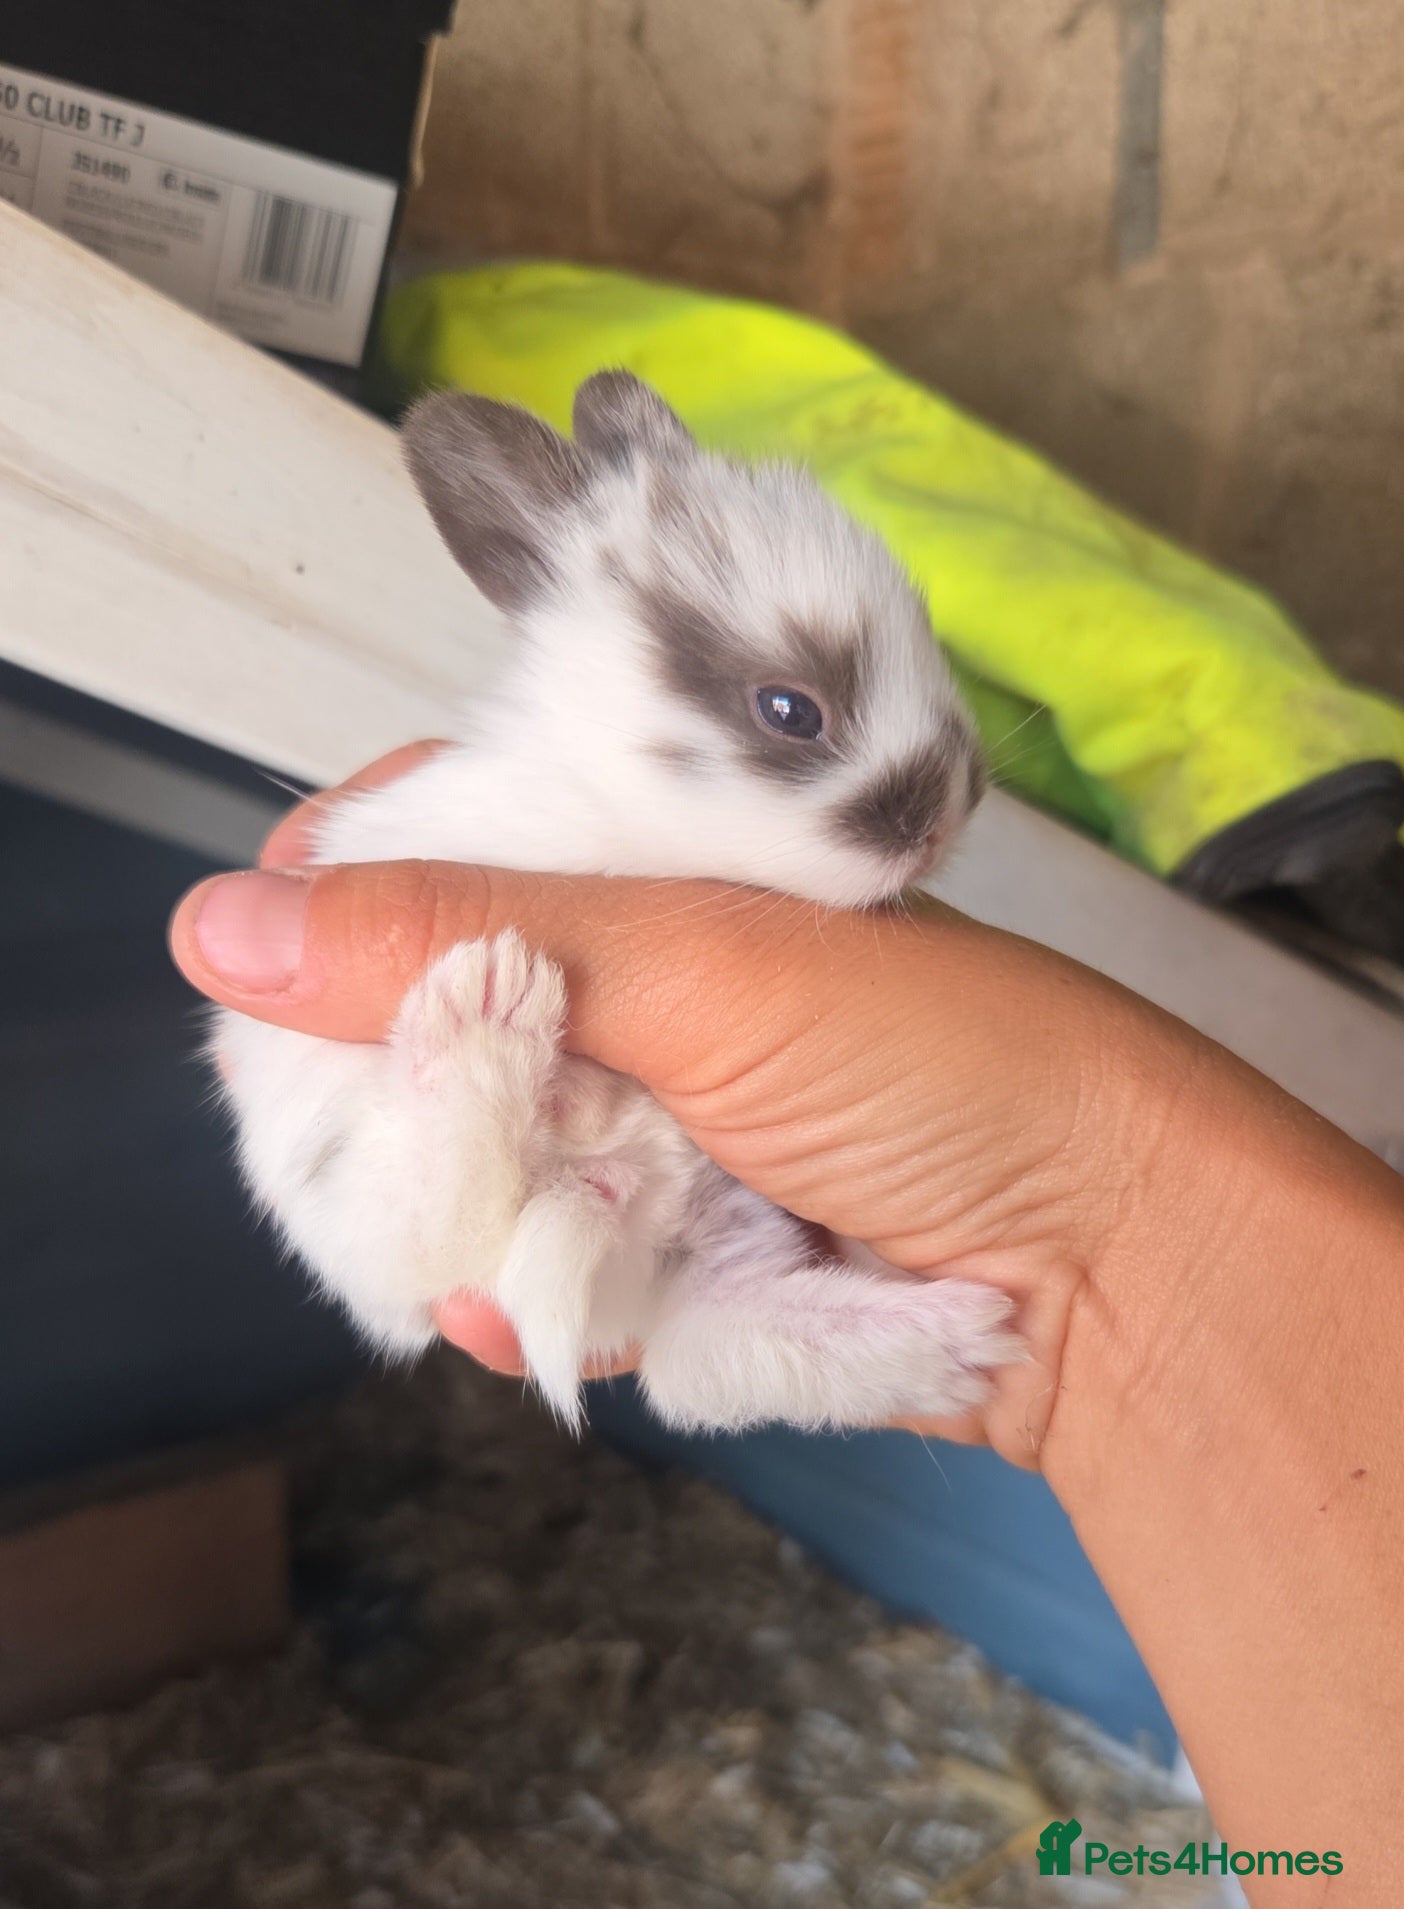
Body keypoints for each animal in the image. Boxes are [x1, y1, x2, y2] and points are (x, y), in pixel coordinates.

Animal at [214, 371, 1022, 1432]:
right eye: (790, 710)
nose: (948, 813)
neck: (606, 811)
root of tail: (616, 1188)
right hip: (360, 1189)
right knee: (441, 1210)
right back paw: (490, 1013)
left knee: (711, 1356)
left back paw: (966, 1340)